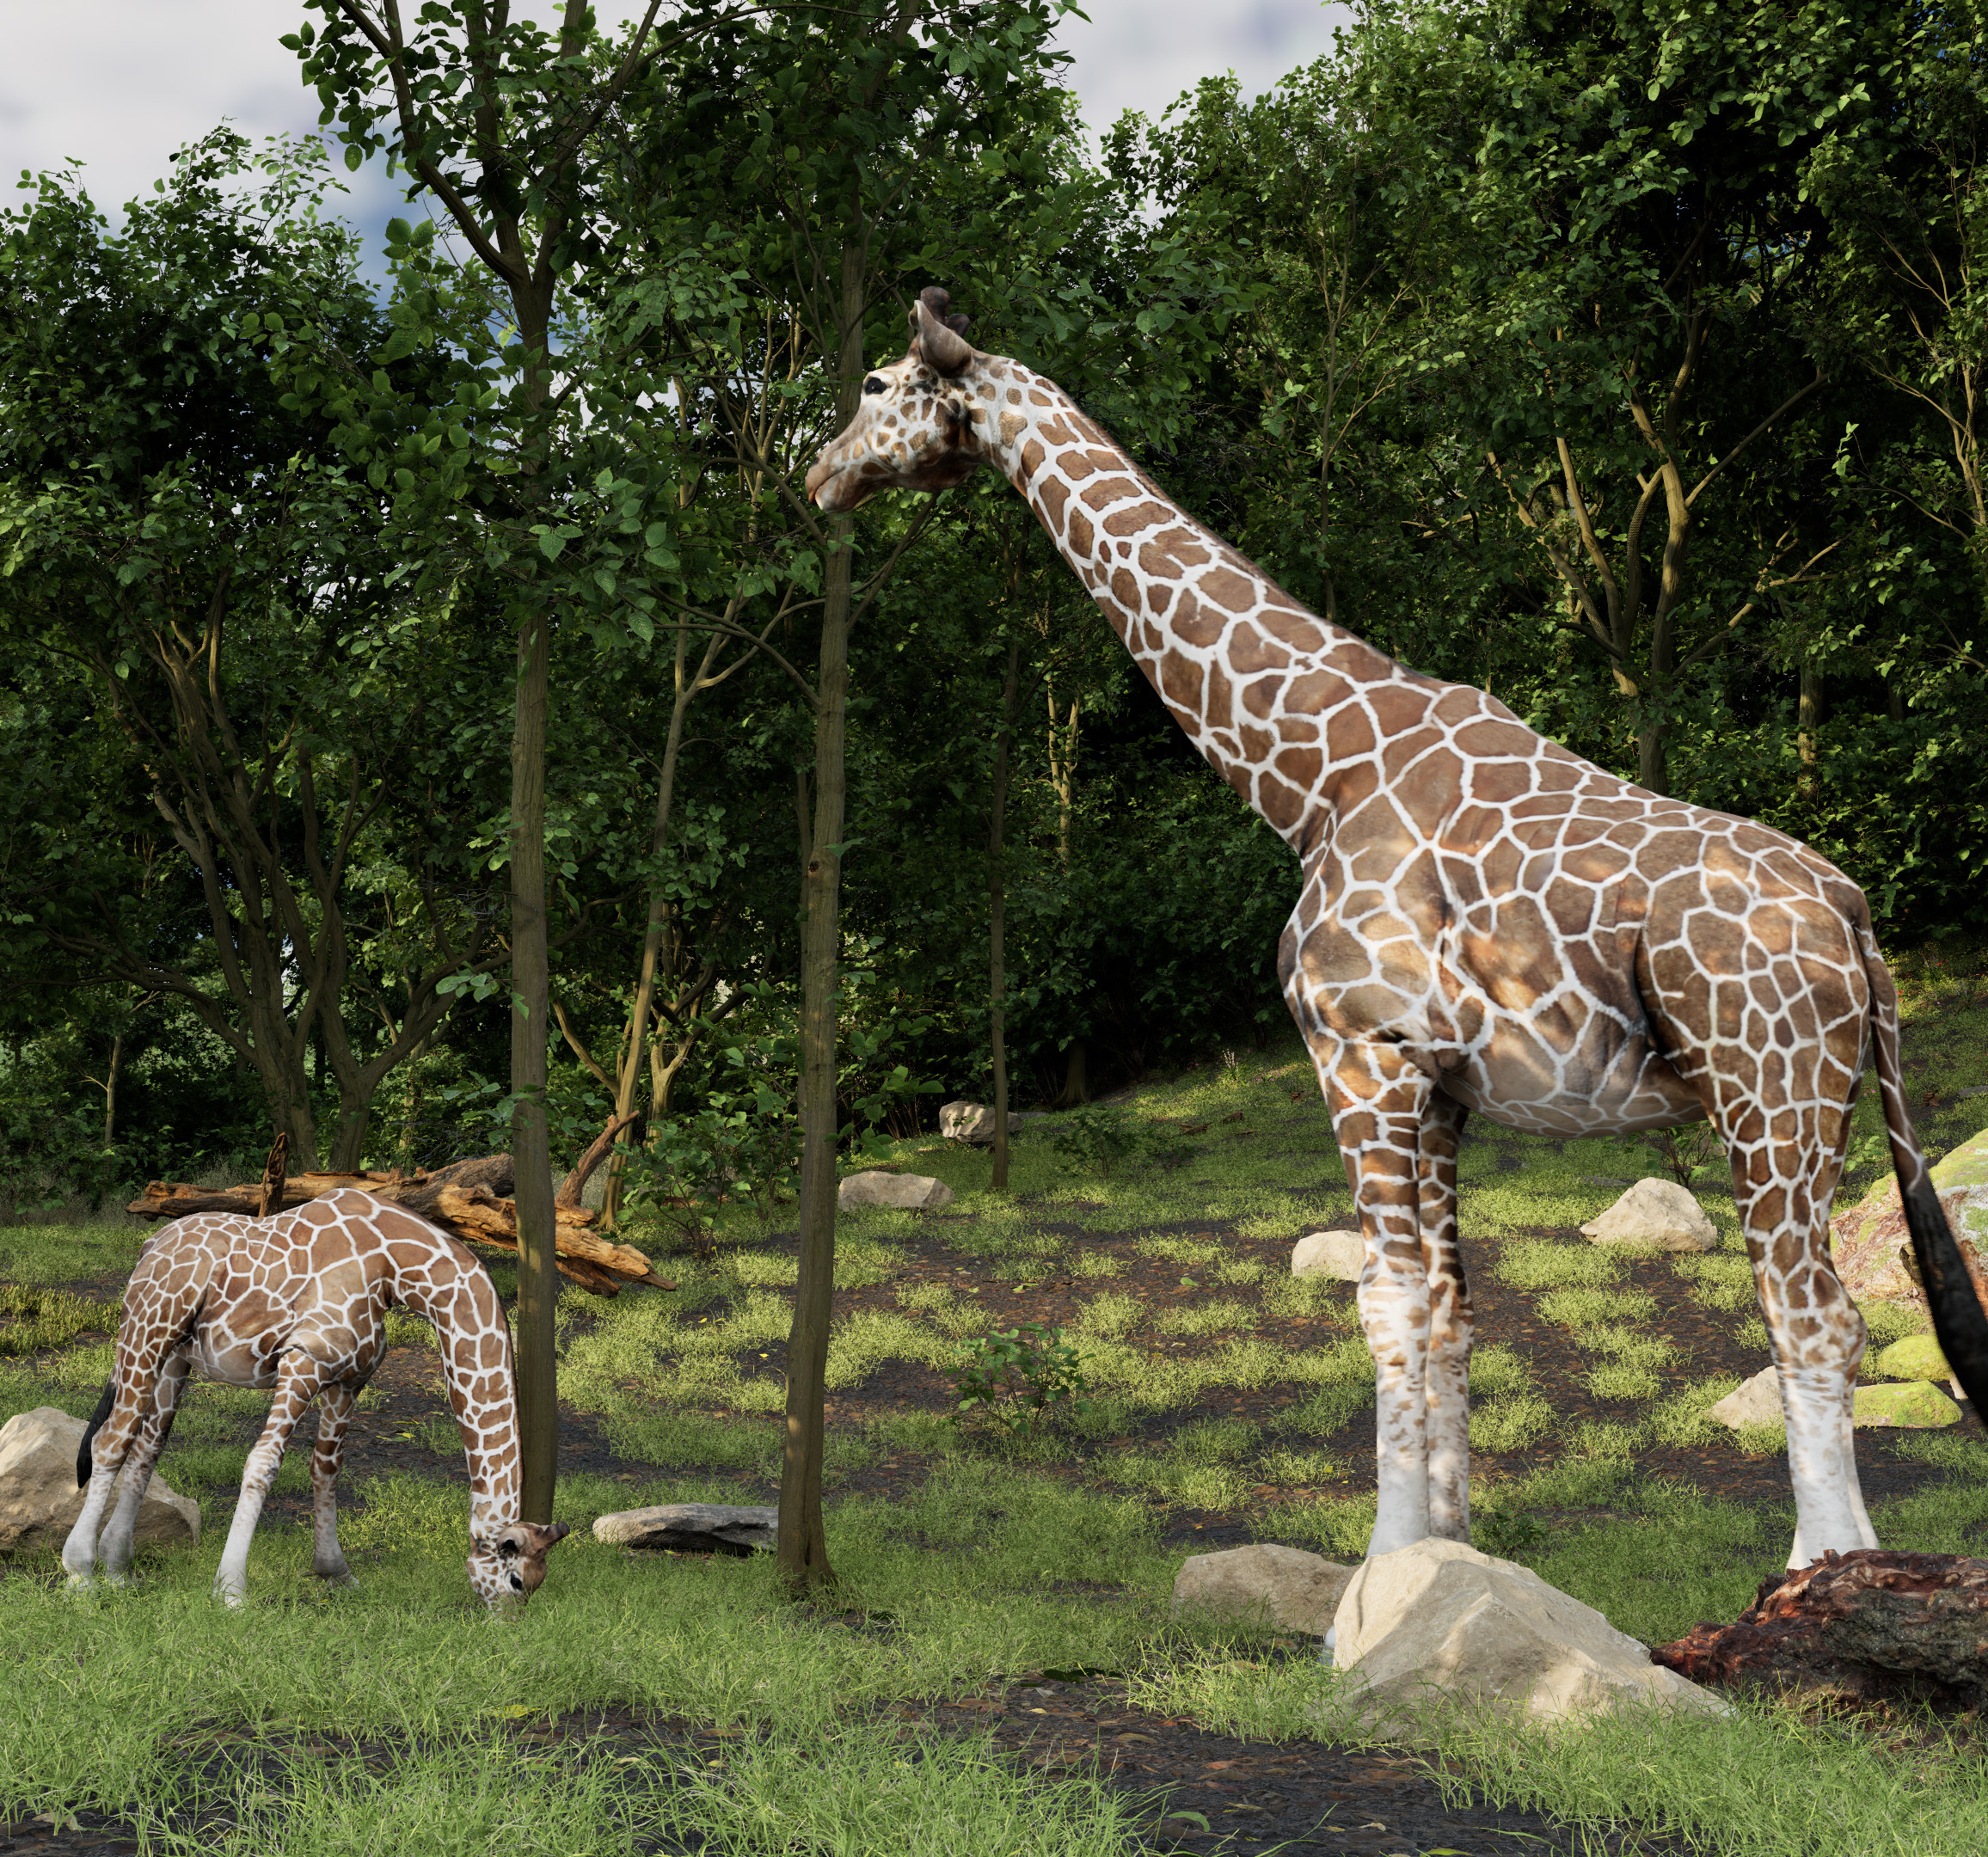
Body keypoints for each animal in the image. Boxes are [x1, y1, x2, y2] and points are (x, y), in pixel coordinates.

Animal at [65, 1192, 564, 1614]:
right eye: (517, 1581)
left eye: (539, 1584)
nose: (507, 1624)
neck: (398, 1269)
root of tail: (150, 1244)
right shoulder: (304, 1359)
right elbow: (263, 1464)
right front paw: (230, 1592)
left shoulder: (350, 1379)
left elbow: (327, 1468)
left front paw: (337, 1574)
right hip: (147, 1330)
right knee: (111, 1440)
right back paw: (82, 1572)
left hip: (176, 1357)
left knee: (146, 1446)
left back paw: (117, 1570)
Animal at [803, 286, 1988, 1566]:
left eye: (874, 386)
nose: (817, 475)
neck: (1312, 771)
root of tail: (1854, 919)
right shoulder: (1441, 1087)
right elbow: (1452, 1311)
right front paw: (1449, 1557)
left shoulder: (1355, 1054)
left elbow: (1382, 1301)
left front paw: (1380, 1565)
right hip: (1823, 1103)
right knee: (1830, 1312)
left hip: (1765, 1093)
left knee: (1808, 1315)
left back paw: (1820, 1568)